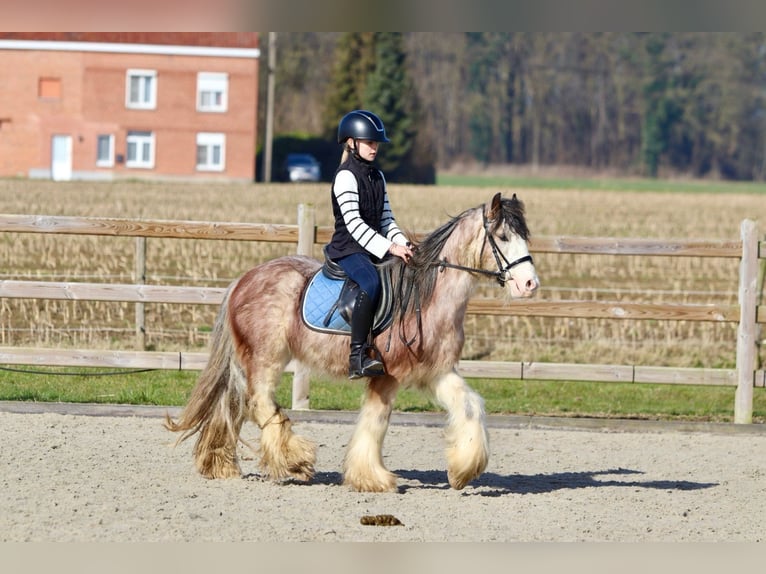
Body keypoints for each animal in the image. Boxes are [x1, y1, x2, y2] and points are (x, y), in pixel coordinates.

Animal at [166, 191, 544, 492]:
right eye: (503, 236)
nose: (530, 284)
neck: (426, 298)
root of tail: (243, 280)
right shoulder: (386, 374)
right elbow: (375, 423)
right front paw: (372, 478)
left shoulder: (436, 372)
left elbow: (469, 405)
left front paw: (463, 470)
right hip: (265, 357)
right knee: (259, 404)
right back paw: (295, 461)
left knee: (232, 407)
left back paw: (220, 466)